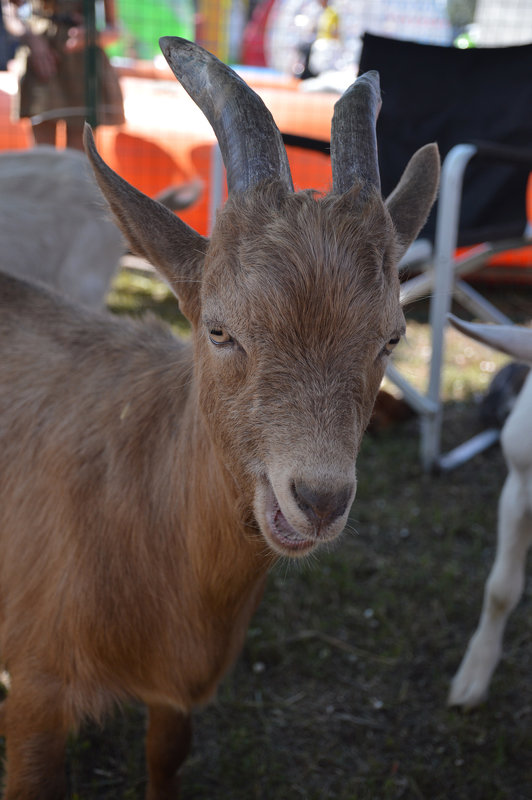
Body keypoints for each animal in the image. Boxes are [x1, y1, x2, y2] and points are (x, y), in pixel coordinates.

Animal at [0, 37, 438, 800]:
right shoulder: (35, 694)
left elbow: (167, 756)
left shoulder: (176, 693)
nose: (318, 499)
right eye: (219, 330)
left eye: (392, 337)